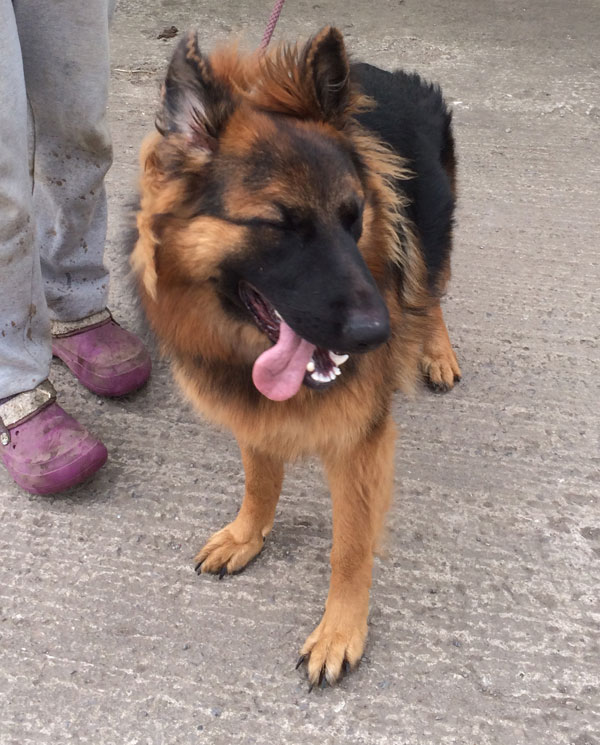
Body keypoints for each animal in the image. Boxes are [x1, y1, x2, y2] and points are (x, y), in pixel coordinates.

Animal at [131, 27, 460, 684]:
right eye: (279, 225)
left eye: (353, 218)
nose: (377, 335)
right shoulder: (253, 412)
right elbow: (260, 480)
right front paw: (247, 535)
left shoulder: (360, 442)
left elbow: (350, 545)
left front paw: (340, 630)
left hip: (436, 229)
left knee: (431, 289)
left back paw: (435, 350)